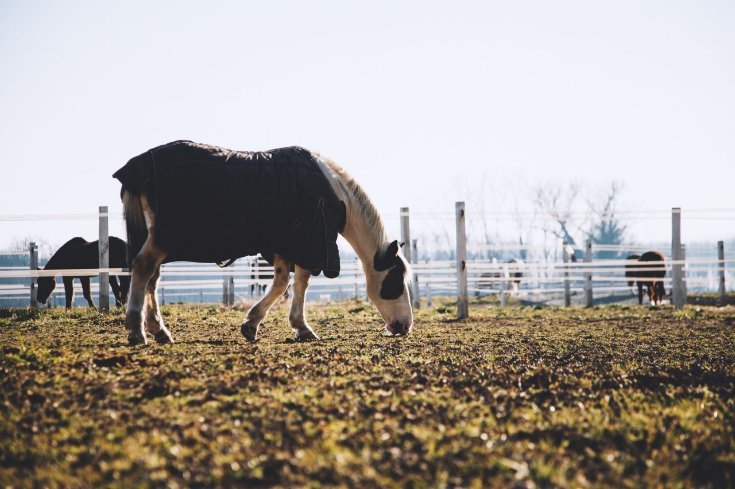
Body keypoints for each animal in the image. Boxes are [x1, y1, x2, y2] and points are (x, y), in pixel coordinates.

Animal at [115, 139, 414, 346]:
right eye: (395, 280)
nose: (405, 326)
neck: (333, 193)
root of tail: (138, 166)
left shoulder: (285, 245)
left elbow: (282, 283)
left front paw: (253, 324)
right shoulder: (308, 242)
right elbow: (299, 283)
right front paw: (301, 327)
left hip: (156, 237)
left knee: (152, 278)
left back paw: (159, 330)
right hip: (161, 239)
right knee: (143, 268)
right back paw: (136, 330)